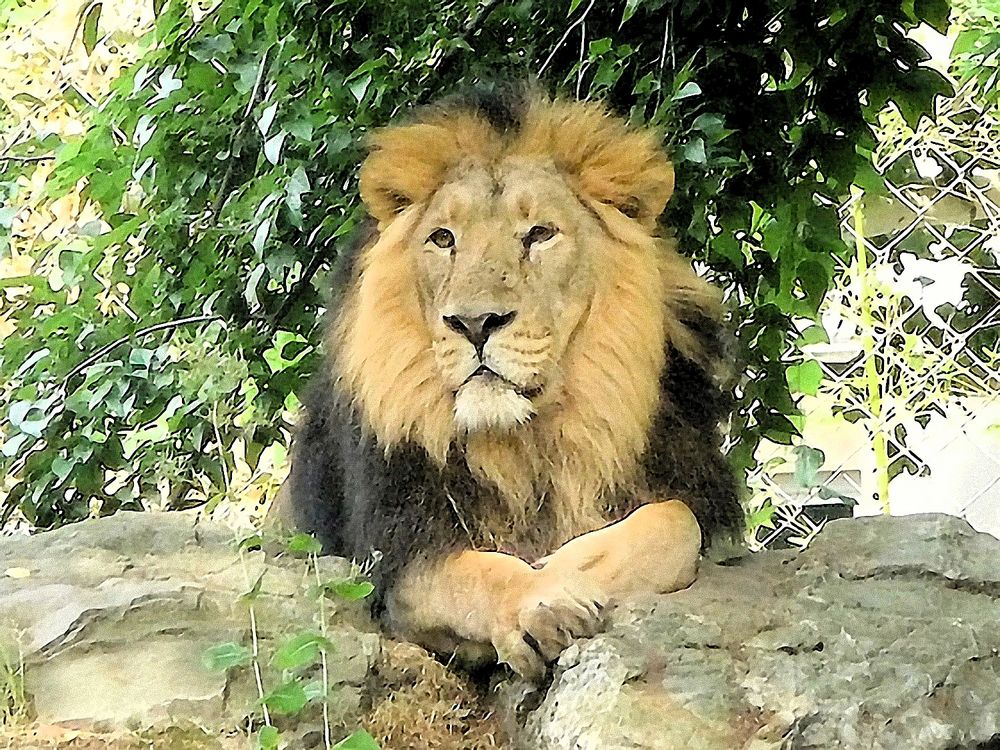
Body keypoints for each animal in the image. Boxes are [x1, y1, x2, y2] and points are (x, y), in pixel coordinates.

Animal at [278, 85, 748, 684]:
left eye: (540, 234)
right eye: (443, 239)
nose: (475, 323)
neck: (530, 448)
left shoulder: (688, 498)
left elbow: (676, 522)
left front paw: (570, 565)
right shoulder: (397, 559)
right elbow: (477, 575)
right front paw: (540, 599)